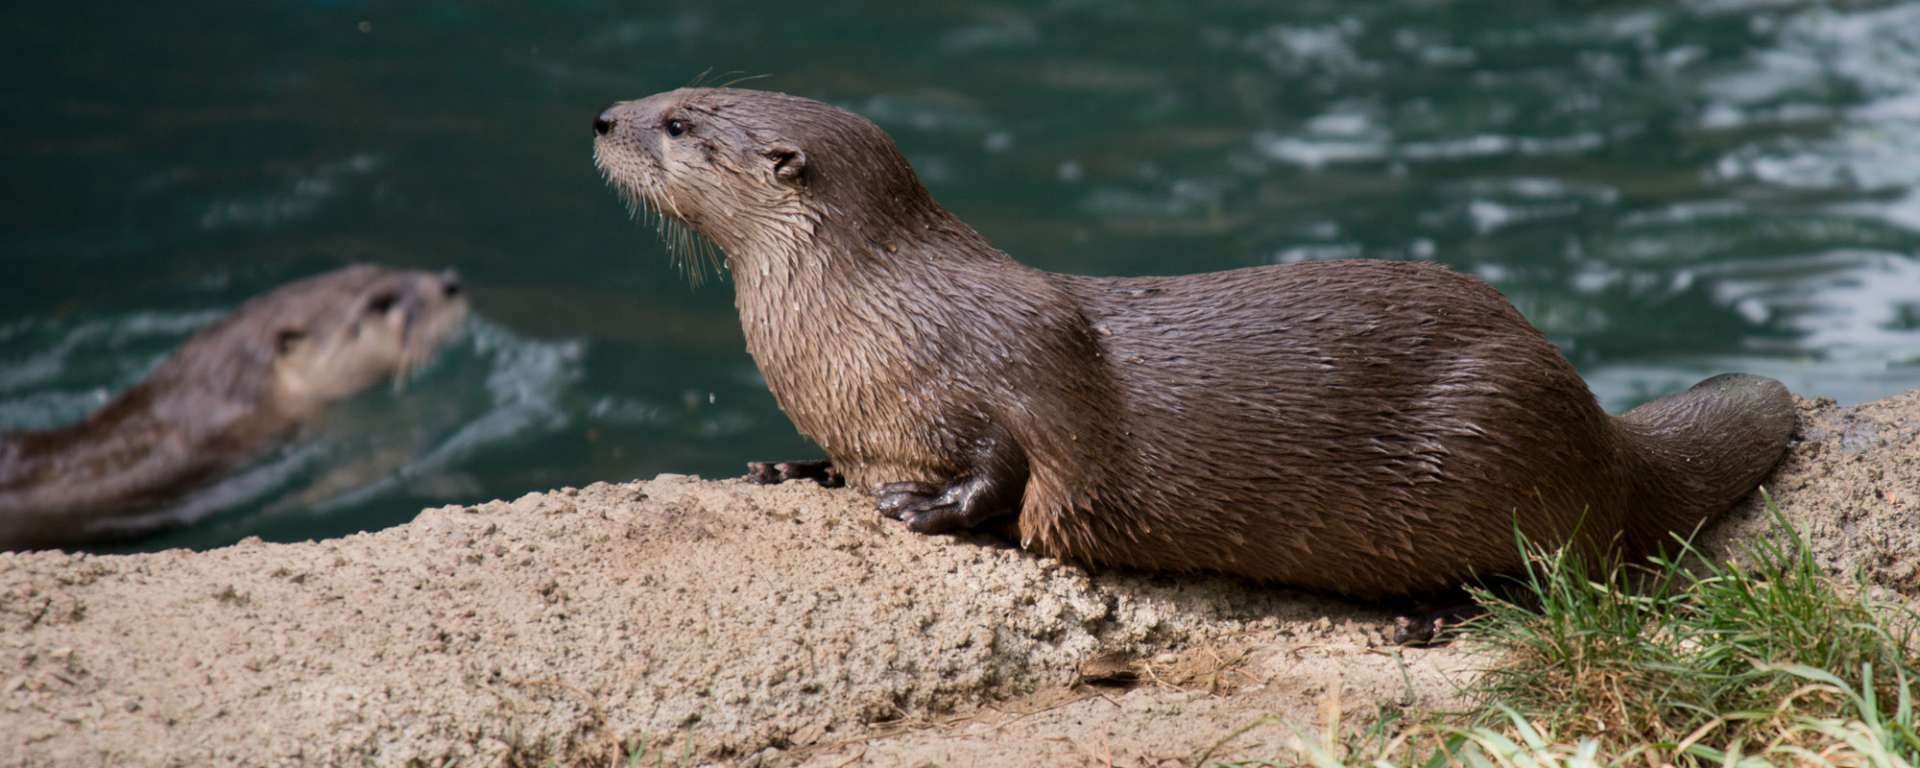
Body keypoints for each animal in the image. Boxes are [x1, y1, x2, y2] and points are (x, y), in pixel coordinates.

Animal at [591, 87, 1796, 604]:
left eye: (680, 124)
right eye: (671, 92)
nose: (602, 118)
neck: (859, 314)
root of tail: (1603, 432)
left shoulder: (1008, 371)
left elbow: (1016, 462)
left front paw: (921, 508)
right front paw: (790, 465)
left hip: (1496, 431)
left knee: (1579, 574)